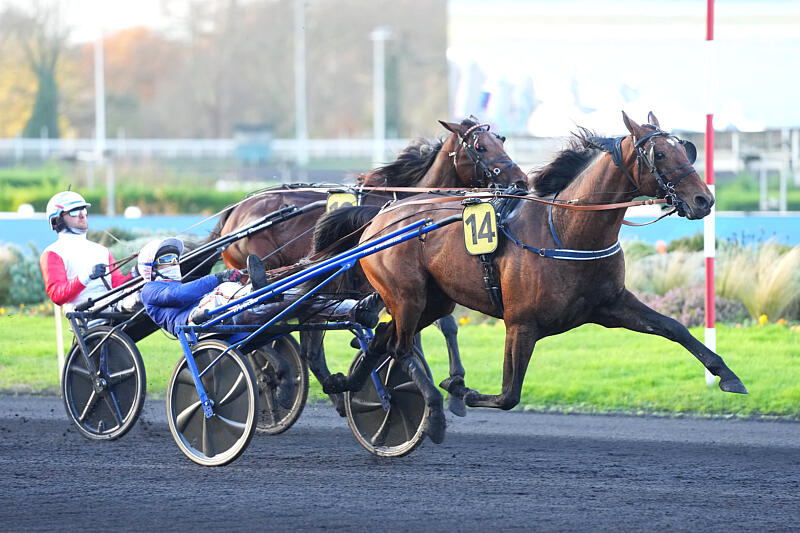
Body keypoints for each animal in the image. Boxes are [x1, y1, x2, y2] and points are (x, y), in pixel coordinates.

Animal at [208, 117, 528, 415]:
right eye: (480, 146)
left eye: (501, 139)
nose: (521, 181)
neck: (406, 203)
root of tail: (235, 211)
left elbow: (441, 326)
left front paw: (452, 387)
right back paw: (282, 379)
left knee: (301, 344)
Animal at [317, 111, 747, 445]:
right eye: (659, 153)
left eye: (684, 148)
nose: (703, 200)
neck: (566, 230)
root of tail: (382, 215)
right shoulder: (521, 323)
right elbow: (509, 394)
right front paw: (461, 390)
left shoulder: (611, 305)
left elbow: (675, 328)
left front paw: (728, 376)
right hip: (408, 297)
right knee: (401, 348)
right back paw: (432, 413)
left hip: (433, 300)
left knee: (383, 340)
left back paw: (349, 386)